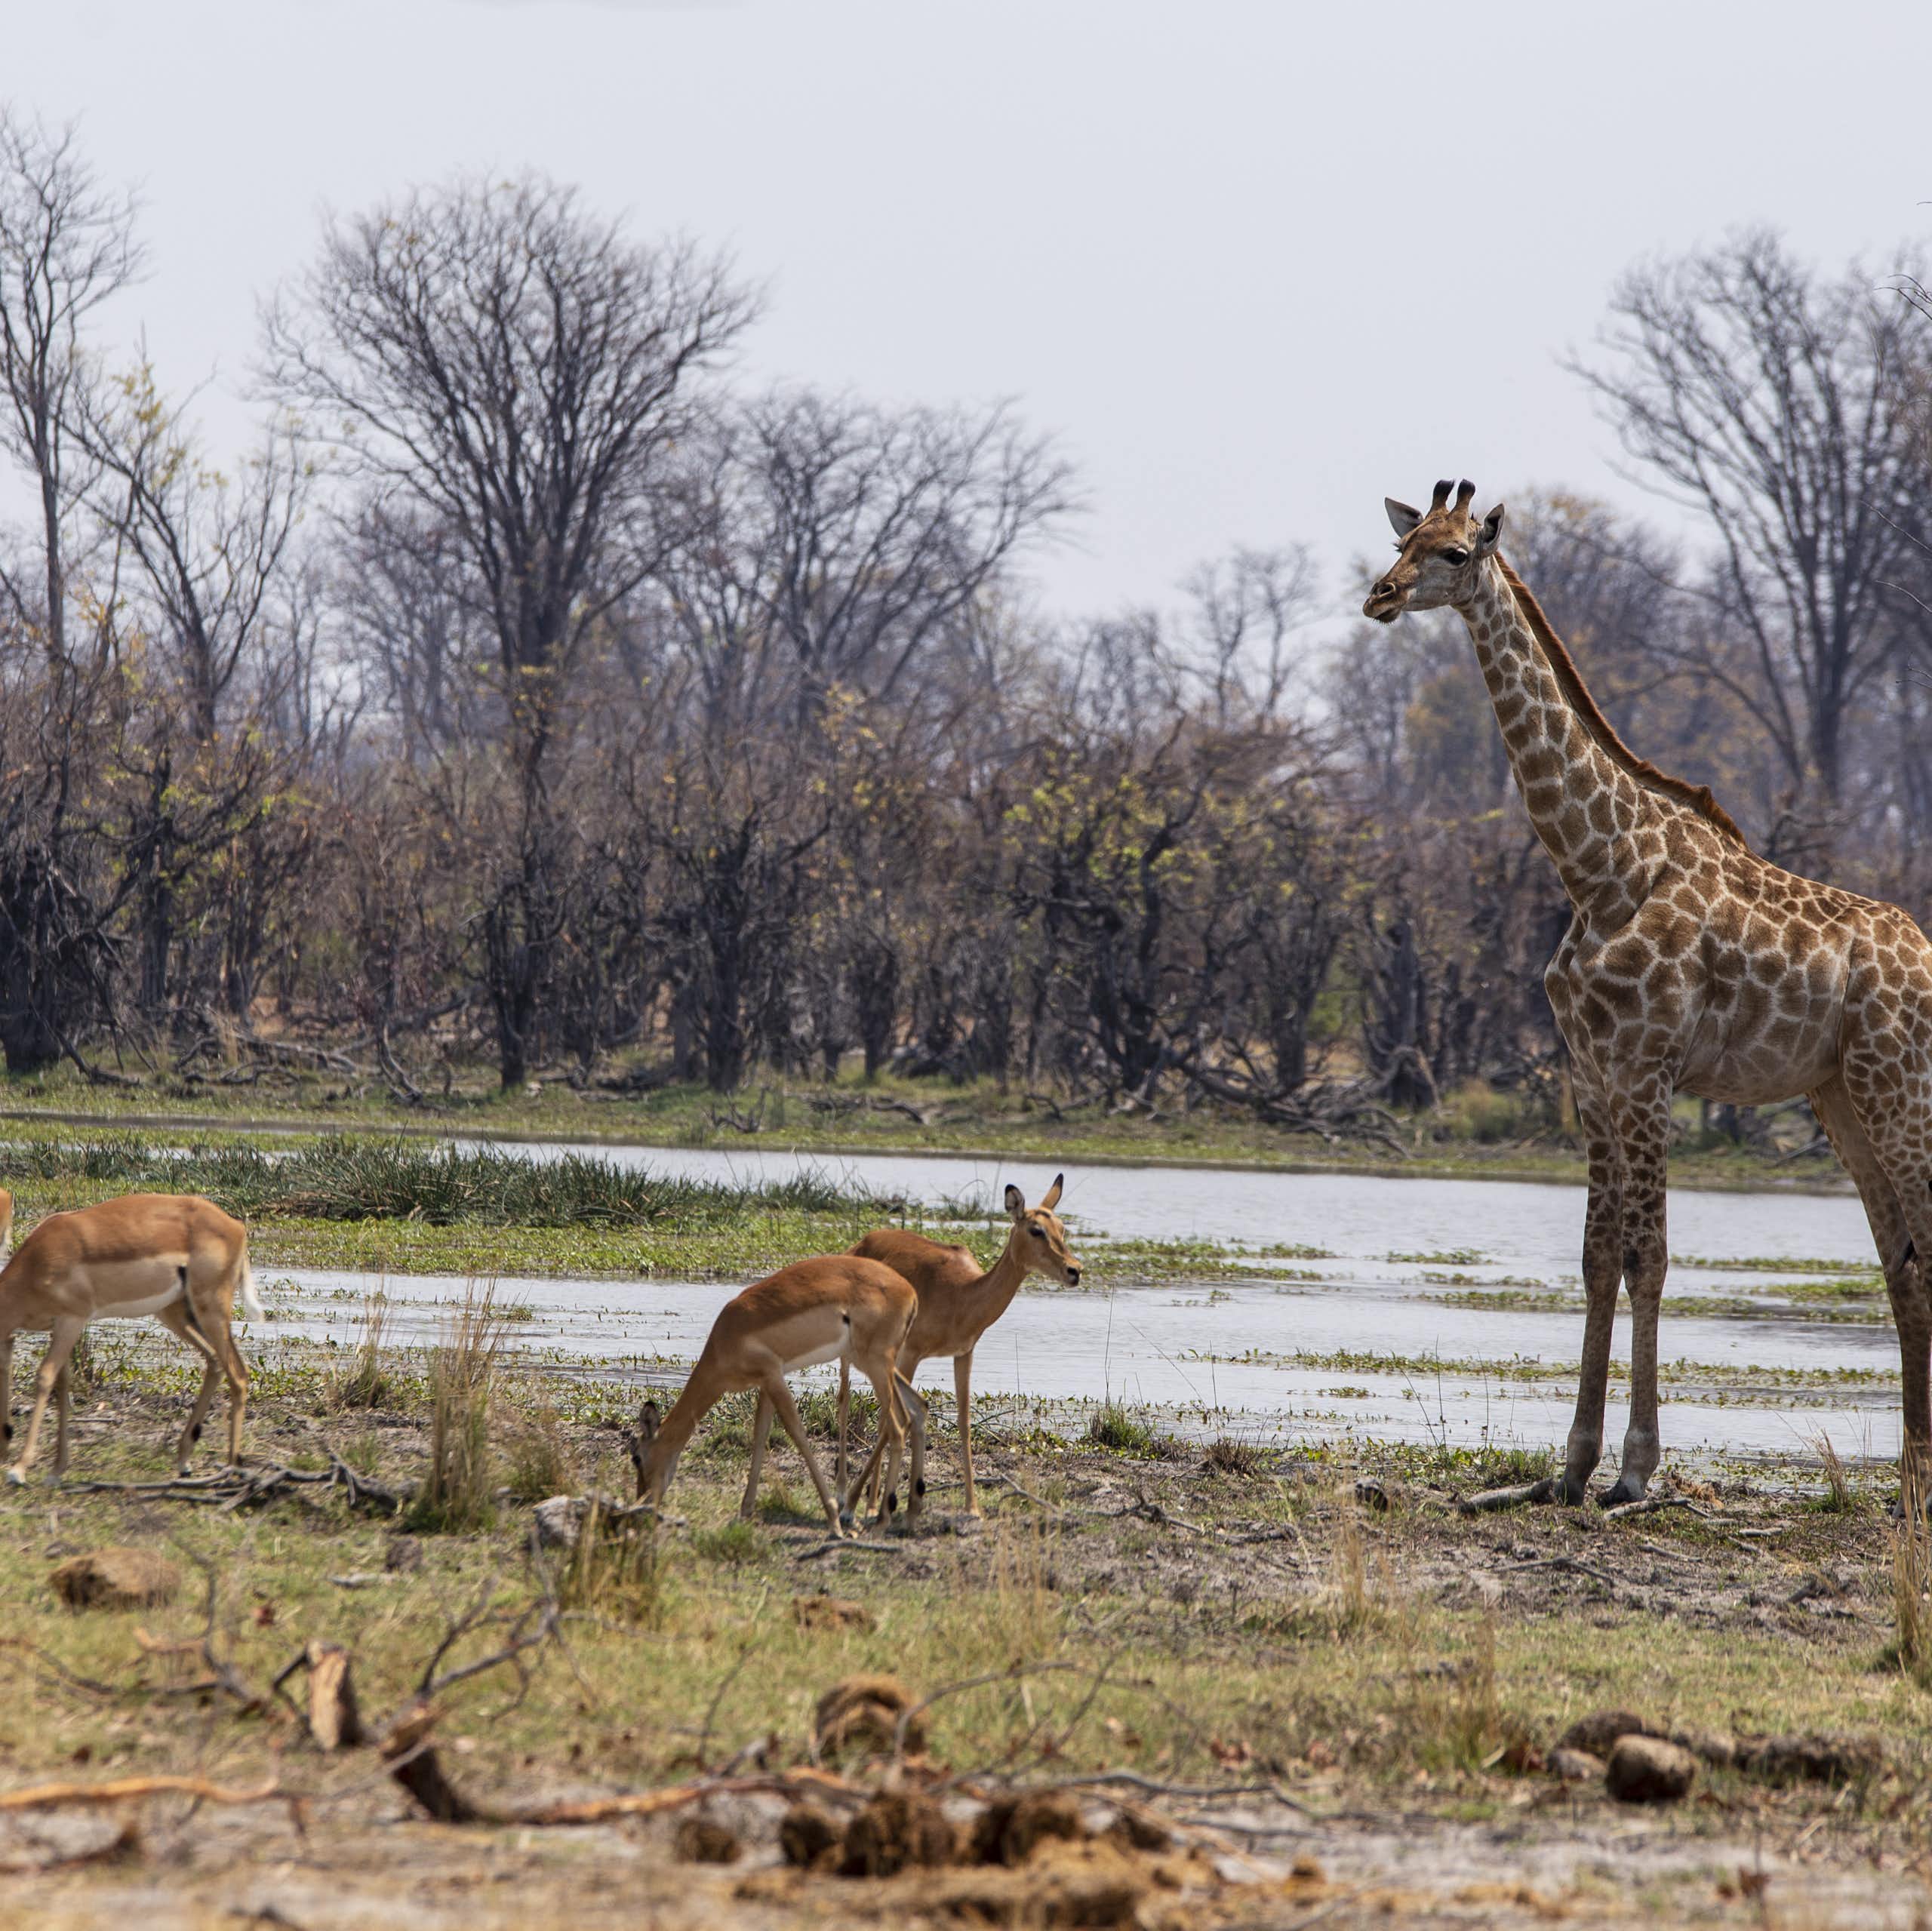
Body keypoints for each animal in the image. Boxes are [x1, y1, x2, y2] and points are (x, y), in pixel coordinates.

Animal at [0, 1193, 263, 1486]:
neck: (38, 1261)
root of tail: (236, 1226)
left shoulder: (72, 1320)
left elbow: (45, 1378)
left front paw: (19, 1469)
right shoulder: (58, 1329)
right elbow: (62, 1382)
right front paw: (56, 1470)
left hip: (211, 1310)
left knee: (238, 1373)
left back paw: (231, 1467)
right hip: (175, 1312)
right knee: (215, 1361)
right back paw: (184, 1462)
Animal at [627, 1253, 926, 1535]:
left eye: (637, 1456)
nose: (643, 1503)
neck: (726, 1338)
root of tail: (911, 1292)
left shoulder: (773, 1376)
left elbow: (798, 1434)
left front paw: (833, 1519)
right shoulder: (766, 1383)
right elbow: (760, 1435)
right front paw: (745, 1511)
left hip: (875, 1365)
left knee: (898, 1427)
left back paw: (879, 1519)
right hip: (878, 1365)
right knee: (917, 1408)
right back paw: (909, 1516)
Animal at [808, 1175, 1080, 1521]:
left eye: (1062, 1228)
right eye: (1036, 1230)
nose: (1074, 1271)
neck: (962, 1295)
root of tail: (862, 1243)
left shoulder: (963, 1355)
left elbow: (963, 1423)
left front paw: (972, 1507)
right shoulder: (910, 1355)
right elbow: (894, 1422)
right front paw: (864, 1505)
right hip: (858, 1355)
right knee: (845, 1402)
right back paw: (846, 1496)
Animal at [1363, 479, 1932, 1506]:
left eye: (1456, 553)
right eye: (1402, 541)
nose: (1377, 596)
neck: (1597, 871)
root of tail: (1930, 961)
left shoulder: (1649, 1072)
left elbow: (1650, 1259)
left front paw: (1635, 1469)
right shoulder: (1591, 1079)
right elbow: (1597, 1260)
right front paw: (1570, 1466)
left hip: (1896, 1088)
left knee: (1929, 1249)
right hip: (1839, 1097)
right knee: (1900, 1261)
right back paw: (1909, 1479)